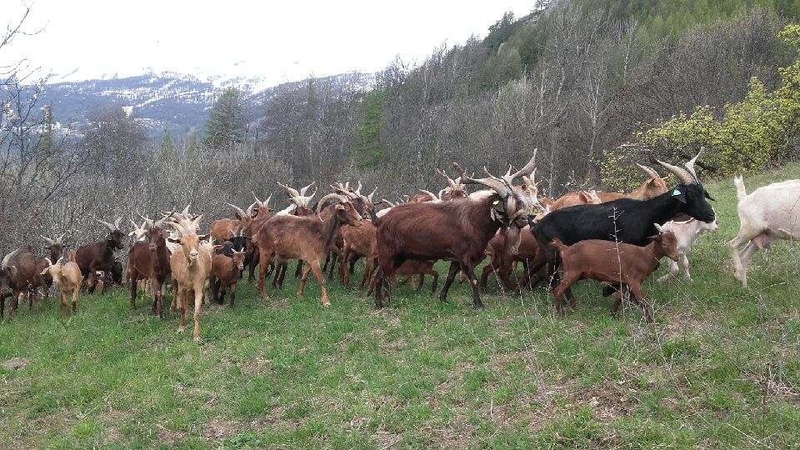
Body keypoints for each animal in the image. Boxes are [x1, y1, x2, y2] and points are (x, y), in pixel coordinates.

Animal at [374, 152, 542, 308]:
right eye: (506, 202)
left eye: (519, 200)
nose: (525, 219)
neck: (475, 221)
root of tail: (380, 220)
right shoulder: (464, 255)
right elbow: (473, 279)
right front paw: (479, 304)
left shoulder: (455, 258)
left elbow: (450, 277)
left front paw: (443, 297)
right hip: (387, 253)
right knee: (379, 276)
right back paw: (379, 304)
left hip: (399, 256)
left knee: (386, 276)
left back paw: (386, 301)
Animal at [550, 228, 679, 322]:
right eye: (664, 243)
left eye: (676, 242)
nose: (676, 257)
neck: (646, 255)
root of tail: (565, 249)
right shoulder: (634, 280)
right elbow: (642, 301)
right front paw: (650, 321)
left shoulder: (626, 282)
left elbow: (619, 297)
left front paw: (612, 314)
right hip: (573, 271)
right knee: (558, 290)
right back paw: (561, 314)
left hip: (576, 273)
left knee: (564, 288)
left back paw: (570, 305)